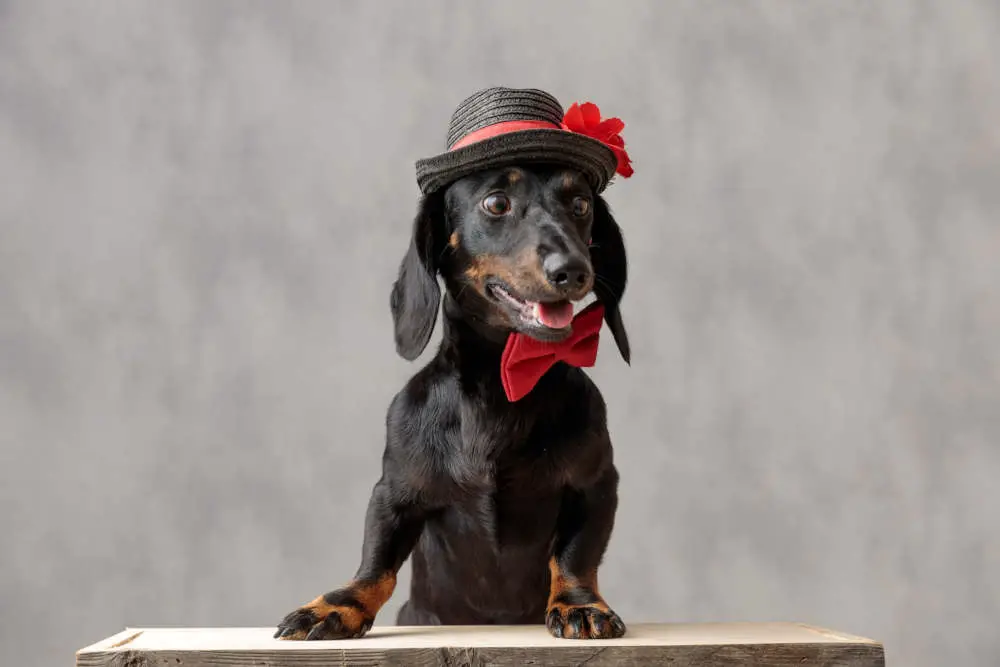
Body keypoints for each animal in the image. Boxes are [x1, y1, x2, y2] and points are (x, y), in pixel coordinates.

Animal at [274, 87, 632, 640]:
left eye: (581, 204)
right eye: (497, 203)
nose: (573, 270)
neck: (501, 383)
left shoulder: (596, 485)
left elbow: (575, 556)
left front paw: (579, 605)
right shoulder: (394, 492)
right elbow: (376, 563)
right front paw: (337, 606)